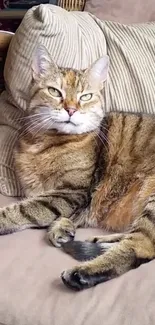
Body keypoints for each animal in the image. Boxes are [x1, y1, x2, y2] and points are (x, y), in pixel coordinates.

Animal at [0, 44, 155, 290]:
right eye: (55, 91)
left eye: (86, 96)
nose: (71, 109)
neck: (43, 142)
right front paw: (62, 227)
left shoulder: (70, 192)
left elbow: (22, 209)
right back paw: (100, 240)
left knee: (141, 247)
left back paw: (84, 272)